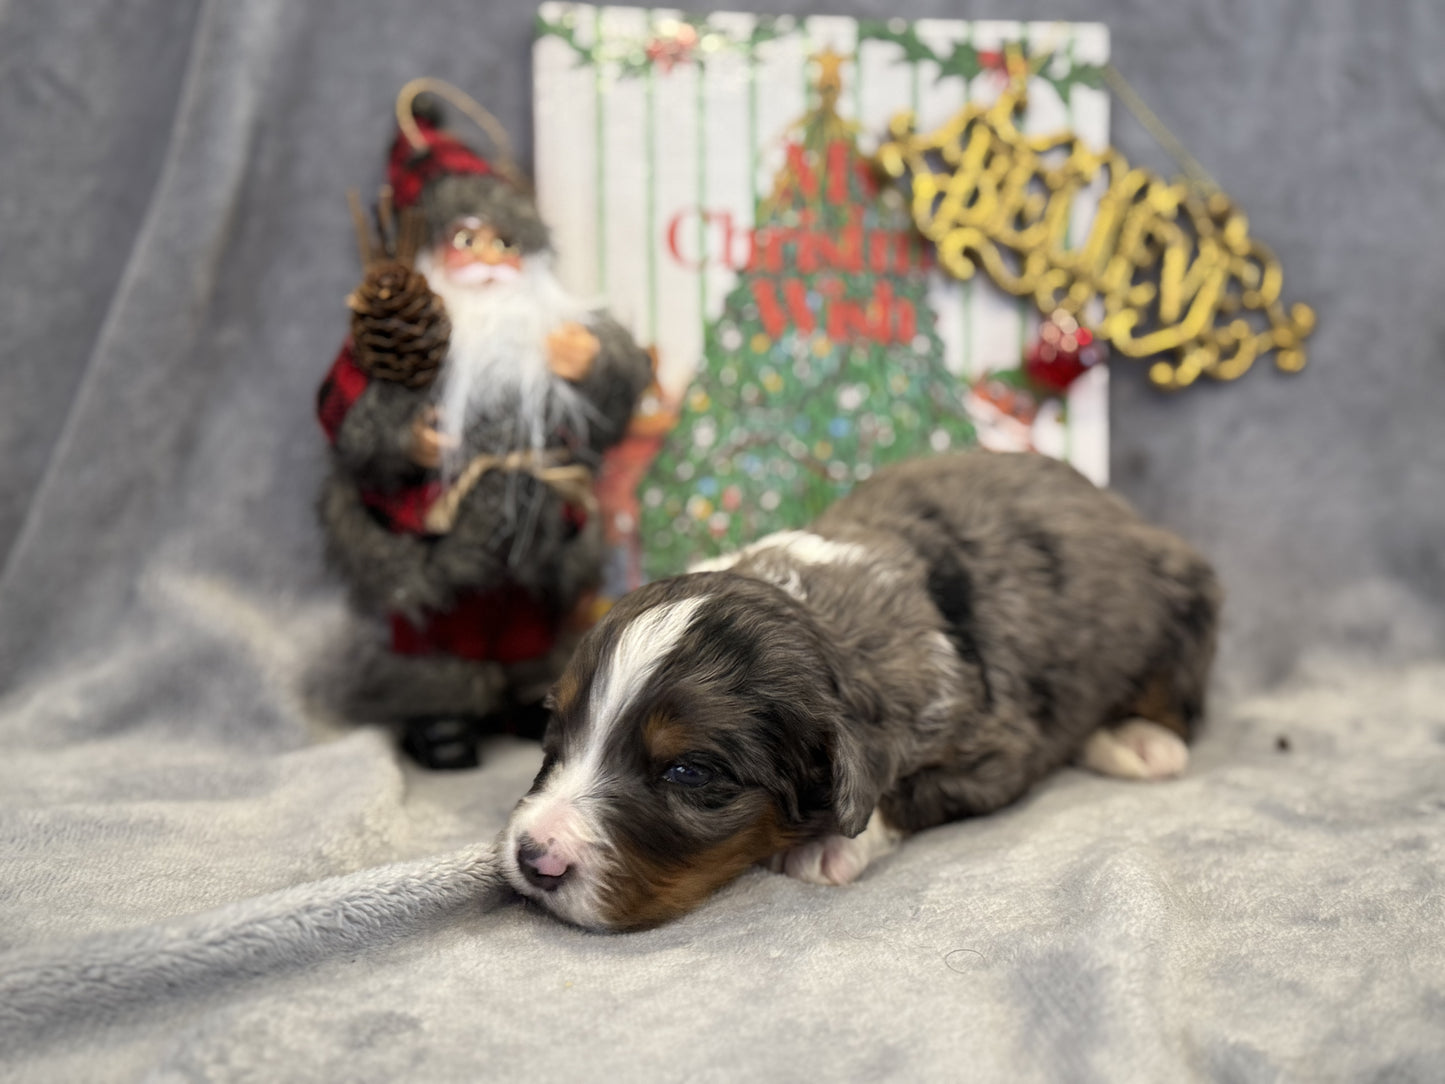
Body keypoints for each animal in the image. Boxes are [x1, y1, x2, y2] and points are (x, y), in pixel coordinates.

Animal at [497, 450, 1219, 936]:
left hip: (1183, 599)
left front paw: (828, 846)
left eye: (688, 772)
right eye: (554, 731)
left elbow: (901, 793)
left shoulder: (997, 749)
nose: (533, 858)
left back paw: (1138, 740)